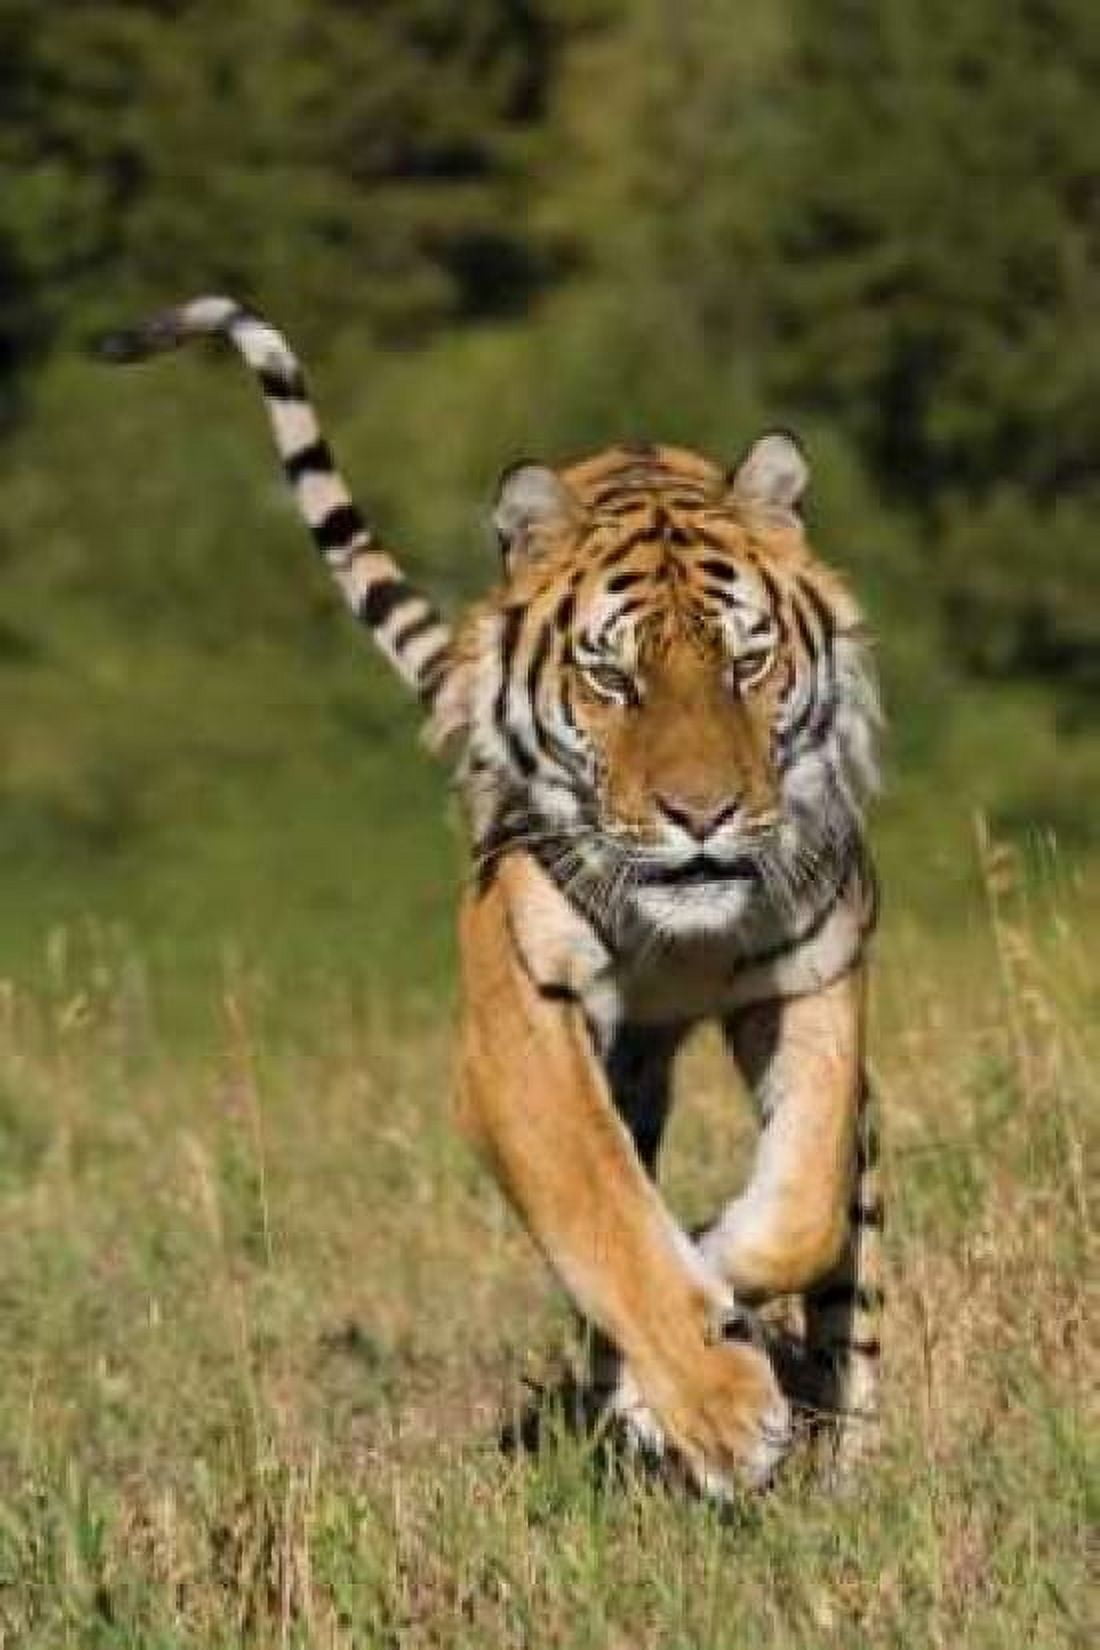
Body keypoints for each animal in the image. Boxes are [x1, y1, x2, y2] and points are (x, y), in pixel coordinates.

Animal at [99, 296, 884, 1497]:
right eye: (613, 678)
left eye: (745, 666)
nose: (700, 815)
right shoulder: (520, 1019)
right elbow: (600, 1206)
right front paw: (712, 1405)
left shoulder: (814, 969)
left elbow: (801, 1198)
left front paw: (718, 1277)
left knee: (853, 1250)